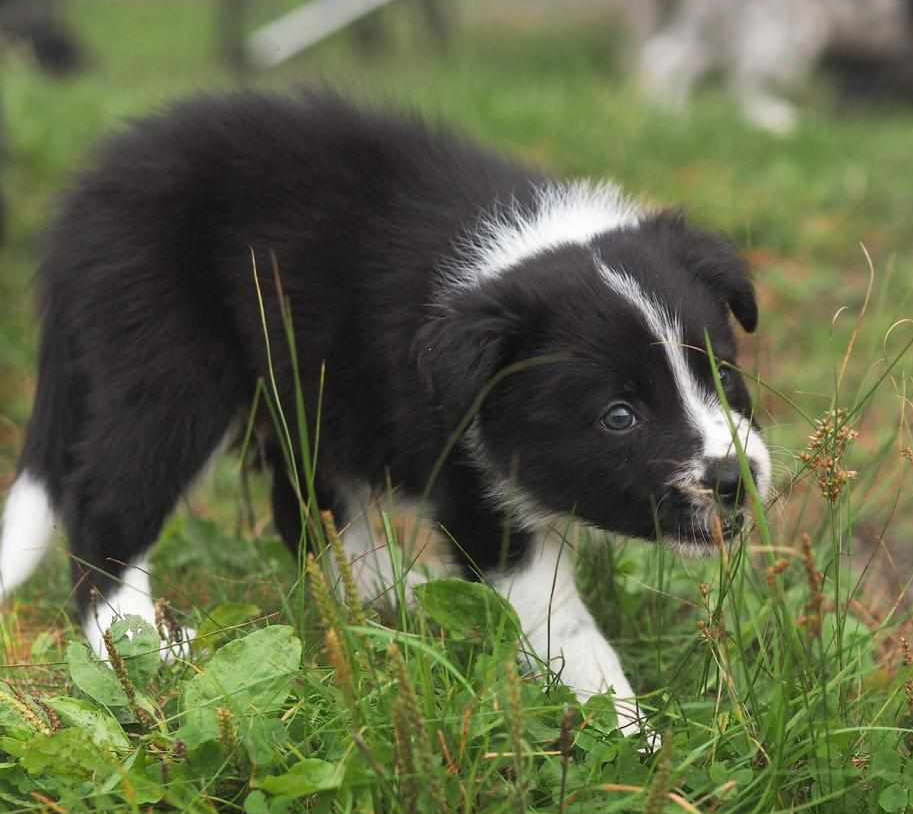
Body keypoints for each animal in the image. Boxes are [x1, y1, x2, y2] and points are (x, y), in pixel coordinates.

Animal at [0, 94, 768, 740]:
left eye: (725, 378)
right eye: (618, 416)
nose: (735, 479)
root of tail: (75, 218)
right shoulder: (470, 479)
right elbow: (564, 628)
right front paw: (633, 740)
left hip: (310, 396)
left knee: (309, 515)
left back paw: (400, 599)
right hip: (168, 363)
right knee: (110, 502)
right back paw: (135, 643)